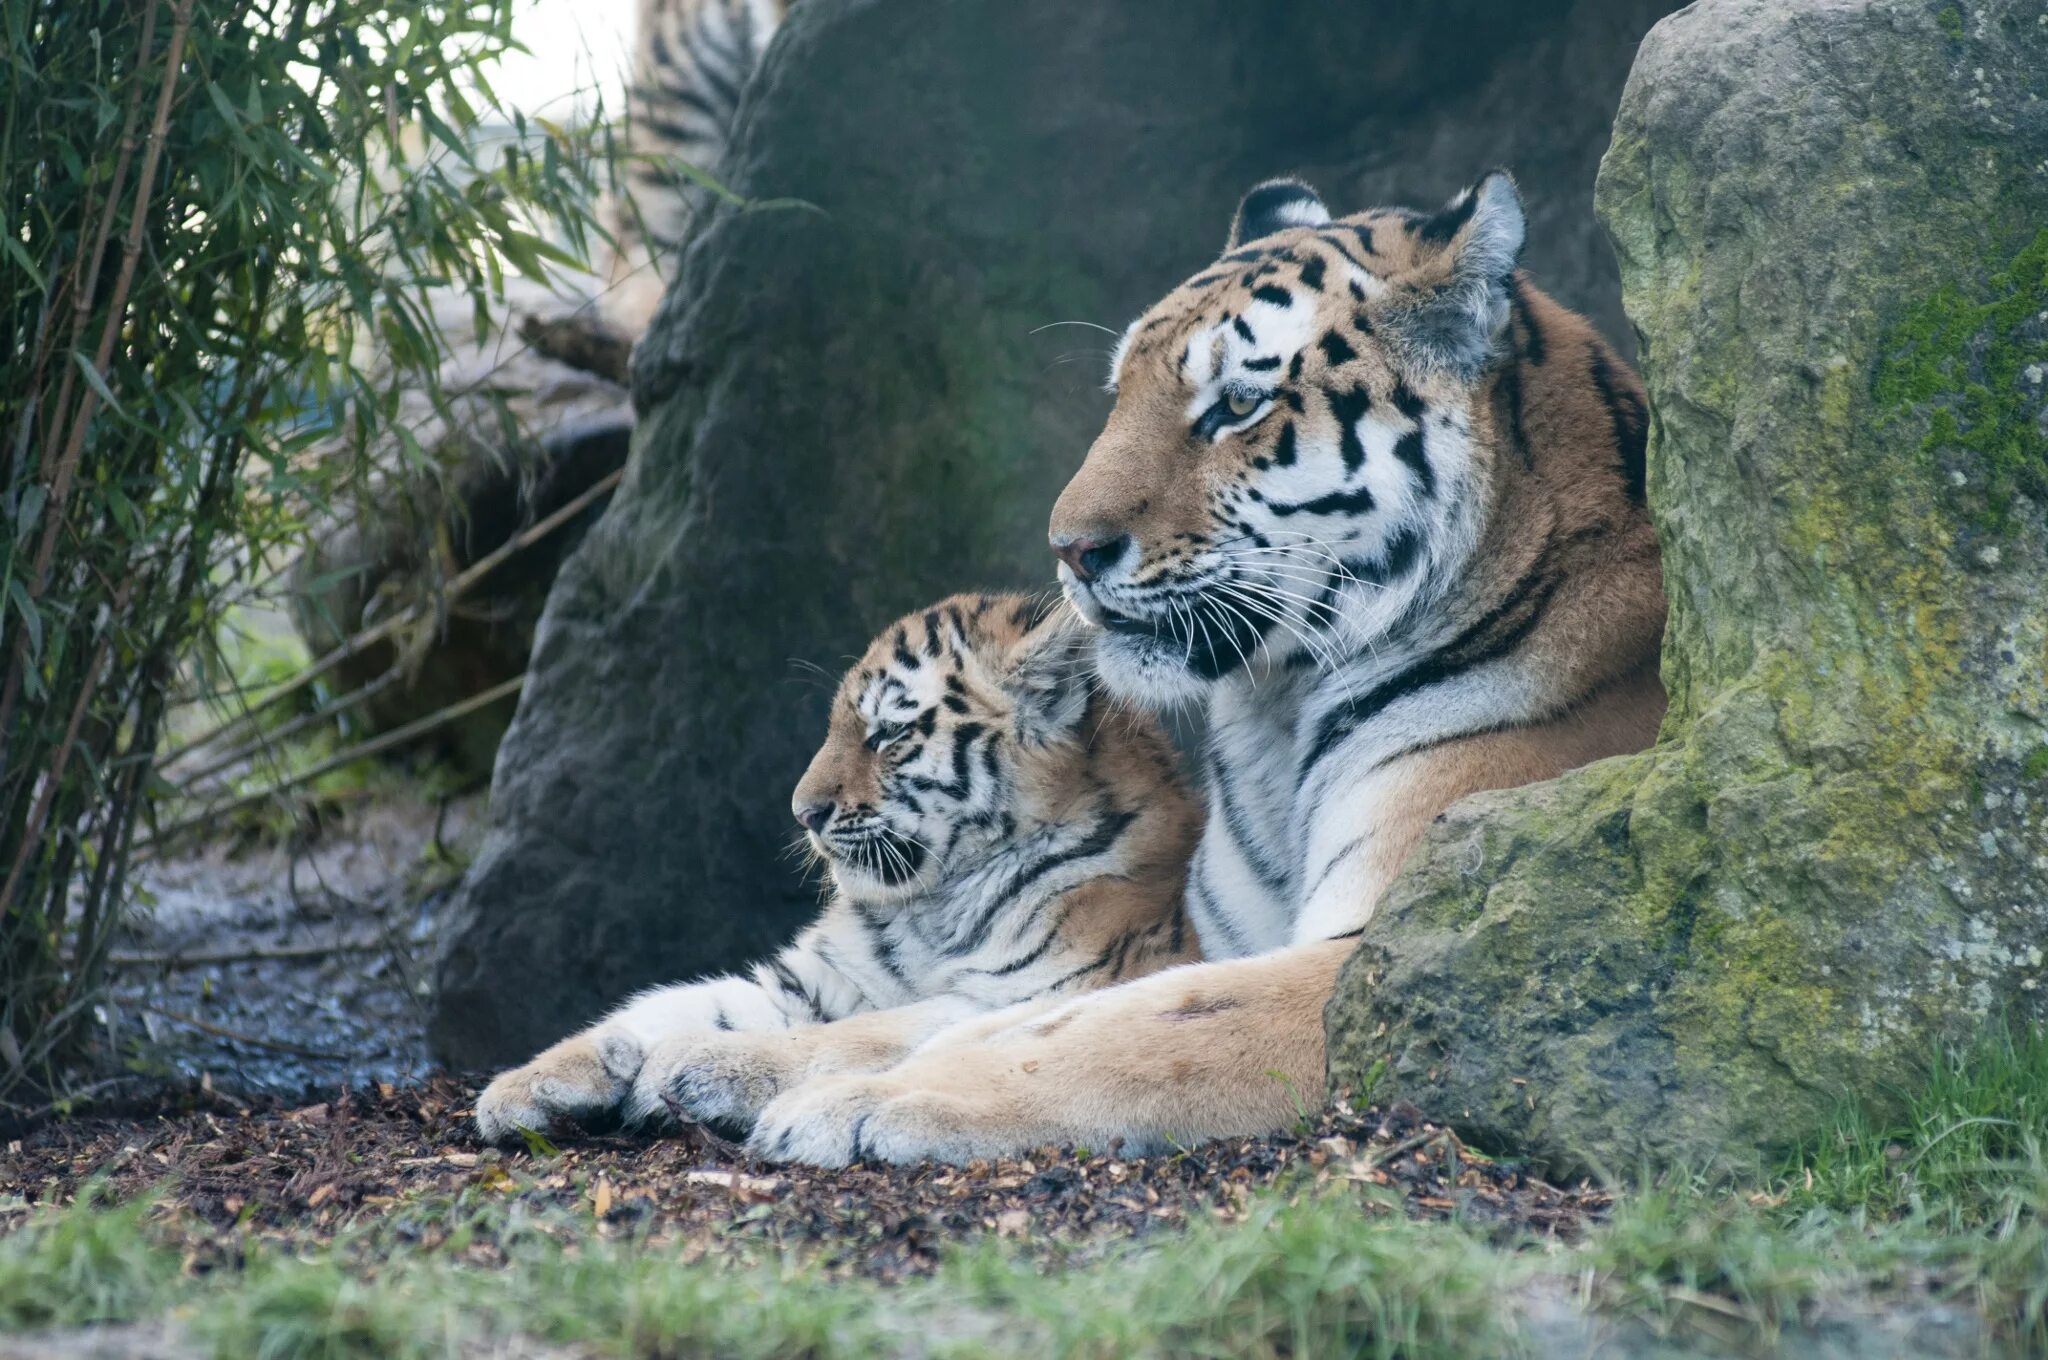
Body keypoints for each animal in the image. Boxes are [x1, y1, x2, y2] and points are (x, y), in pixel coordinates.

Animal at [475, 589, 1196, 1138]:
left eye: (888, 734)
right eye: (836, 728)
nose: (803, 812)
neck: (934, 903)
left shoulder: (1049, 986)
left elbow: (868, 1033)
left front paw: (697, 1067)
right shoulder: (809, 980)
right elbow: (673, 1002)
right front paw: (529, 1080)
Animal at [749, 170, 1662, 1163]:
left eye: (1236, 404)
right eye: (1121, 394)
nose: (1069, 549)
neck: (1282, 711)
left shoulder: (1387, 951)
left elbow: (1123, 1031)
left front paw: (860, 1101)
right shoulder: (1202, 936)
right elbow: (979, 1012)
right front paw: (728, 1058)